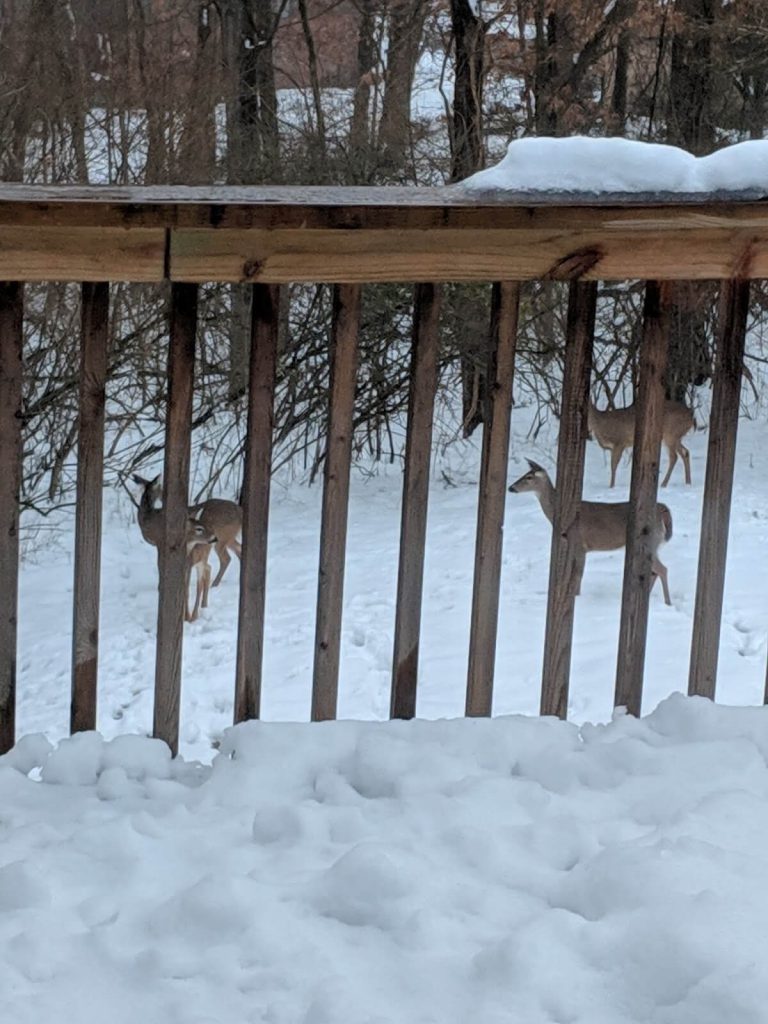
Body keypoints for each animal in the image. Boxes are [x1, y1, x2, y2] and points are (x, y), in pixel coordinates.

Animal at [512, 460, 671, 602]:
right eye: (525, 474)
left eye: (529, 477)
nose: (511, 488)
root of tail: (663, 510)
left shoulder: (580, 544)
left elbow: (578, 574)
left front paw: (576, 597)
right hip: (655, 544)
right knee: (653, 572)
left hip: (650, 541)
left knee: (662, 569)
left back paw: (667, 602)